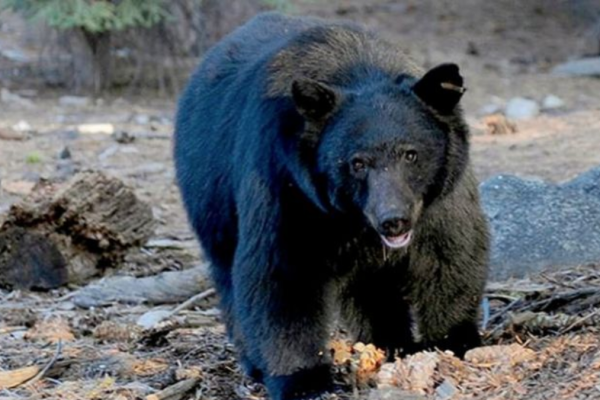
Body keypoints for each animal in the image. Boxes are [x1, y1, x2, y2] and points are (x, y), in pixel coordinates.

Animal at [172, 11, 488, 400]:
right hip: (210, 196)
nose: (393, 221)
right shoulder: (288, 187)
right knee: (227, 273)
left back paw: (388, 342)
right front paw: (304, 380)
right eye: (357, 163)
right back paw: (254, 362)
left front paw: (453, 341)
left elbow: (451, 254)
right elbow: (282, 275)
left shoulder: (439, 199)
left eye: (411, 154)